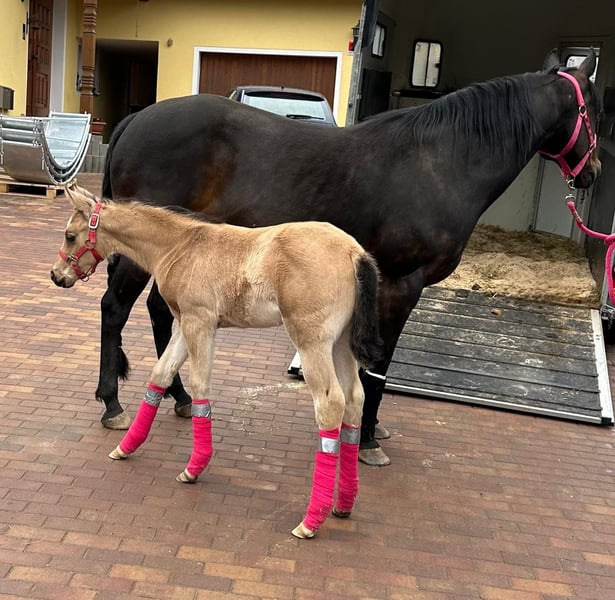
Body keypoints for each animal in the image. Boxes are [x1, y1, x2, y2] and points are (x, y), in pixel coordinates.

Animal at [50, 185, 382, 539]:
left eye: (70, 235)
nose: (56, 276)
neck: (180, 246)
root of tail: (355, 254)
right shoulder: (184, 323)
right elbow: (161, 374)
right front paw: (126, 448)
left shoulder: (199, 321)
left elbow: (199, 384)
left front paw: (194, 467)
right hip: (341, 342)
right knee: (354, 399)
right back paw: (343, 504)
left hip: (312, 340)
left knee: (330, 403)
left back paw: (310, 521)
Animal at [87, 50, 601, 467]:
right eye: (594, 110)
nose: (593, 172)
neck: (440, 163)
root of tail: (136, 121)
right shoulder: (400, 284)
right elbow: (377, 366)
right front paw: (368, 439)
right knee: (115, 308)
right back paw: (113, 404)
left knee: (159, 311)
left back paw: (176, 396)